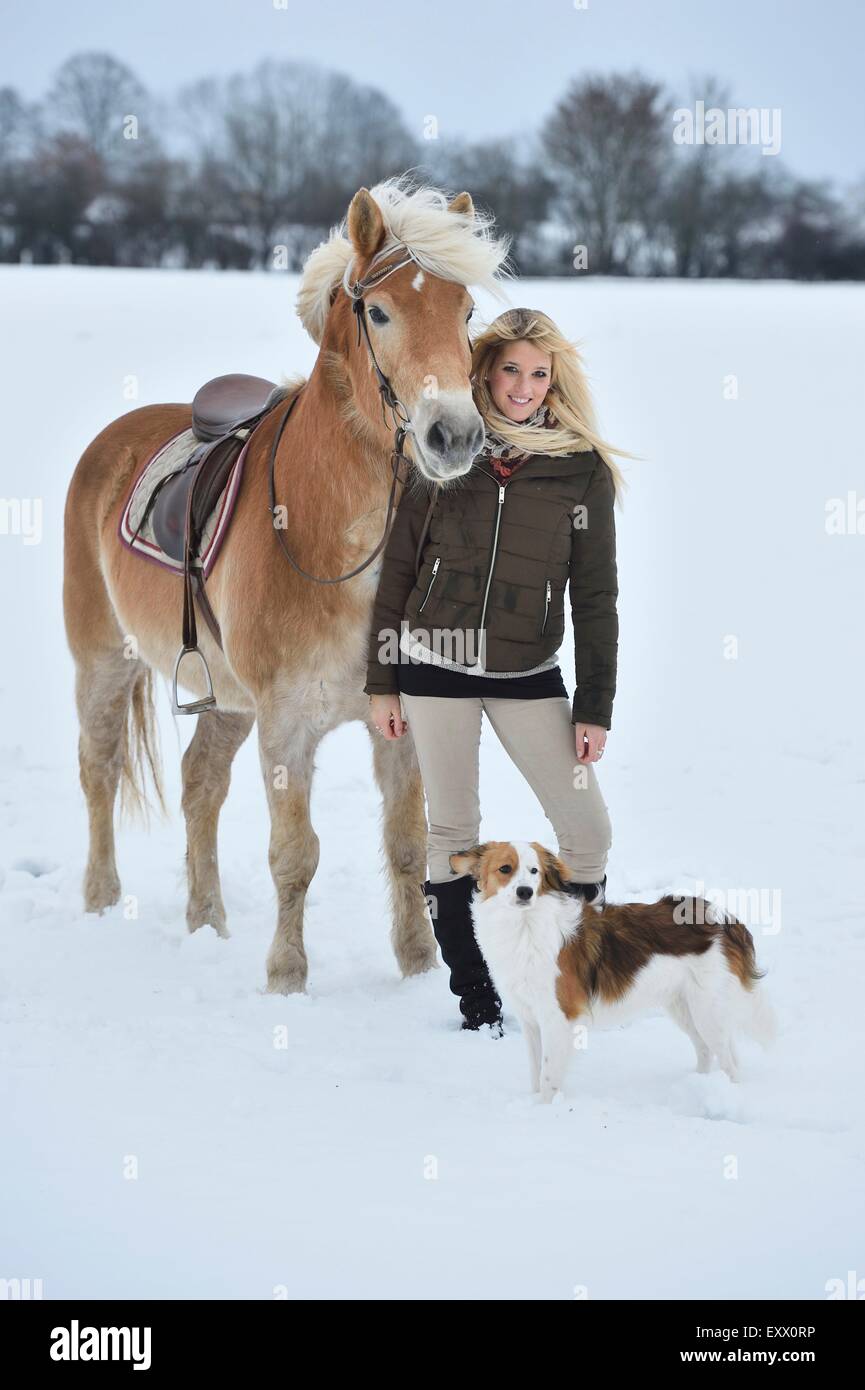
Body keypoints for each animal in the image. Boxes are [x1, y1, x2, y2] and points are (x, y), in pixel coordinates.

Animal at [64, 179, 511, 995]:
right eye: (379, 311)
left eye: (466, 312)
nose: (455, 436)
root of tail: (115, 435)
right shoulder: (286, 721)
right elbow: (295, 855)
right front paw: (286, 978)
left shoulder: (398, 719)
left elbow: (406, 844)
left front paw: (417, 967)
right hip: (105, 661)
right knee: (100, 769)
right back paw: (102, 899)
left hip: (225, 698)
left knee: (199, 782)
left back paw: (206, 921)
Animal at [450, 839, 778, 1100]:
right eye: (505, 869)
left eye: (534, 872)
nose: (525, 892)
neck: (525, 925)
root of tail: (726, 919)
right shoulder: (531, 1019)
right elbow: (535, 1072)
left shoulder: (559, 1018)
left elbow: (548, 1076)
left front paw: (544, 1111)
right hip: (684, 1006)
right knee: (706, 1050)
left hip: (706, 1009)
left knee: (730, 1062)